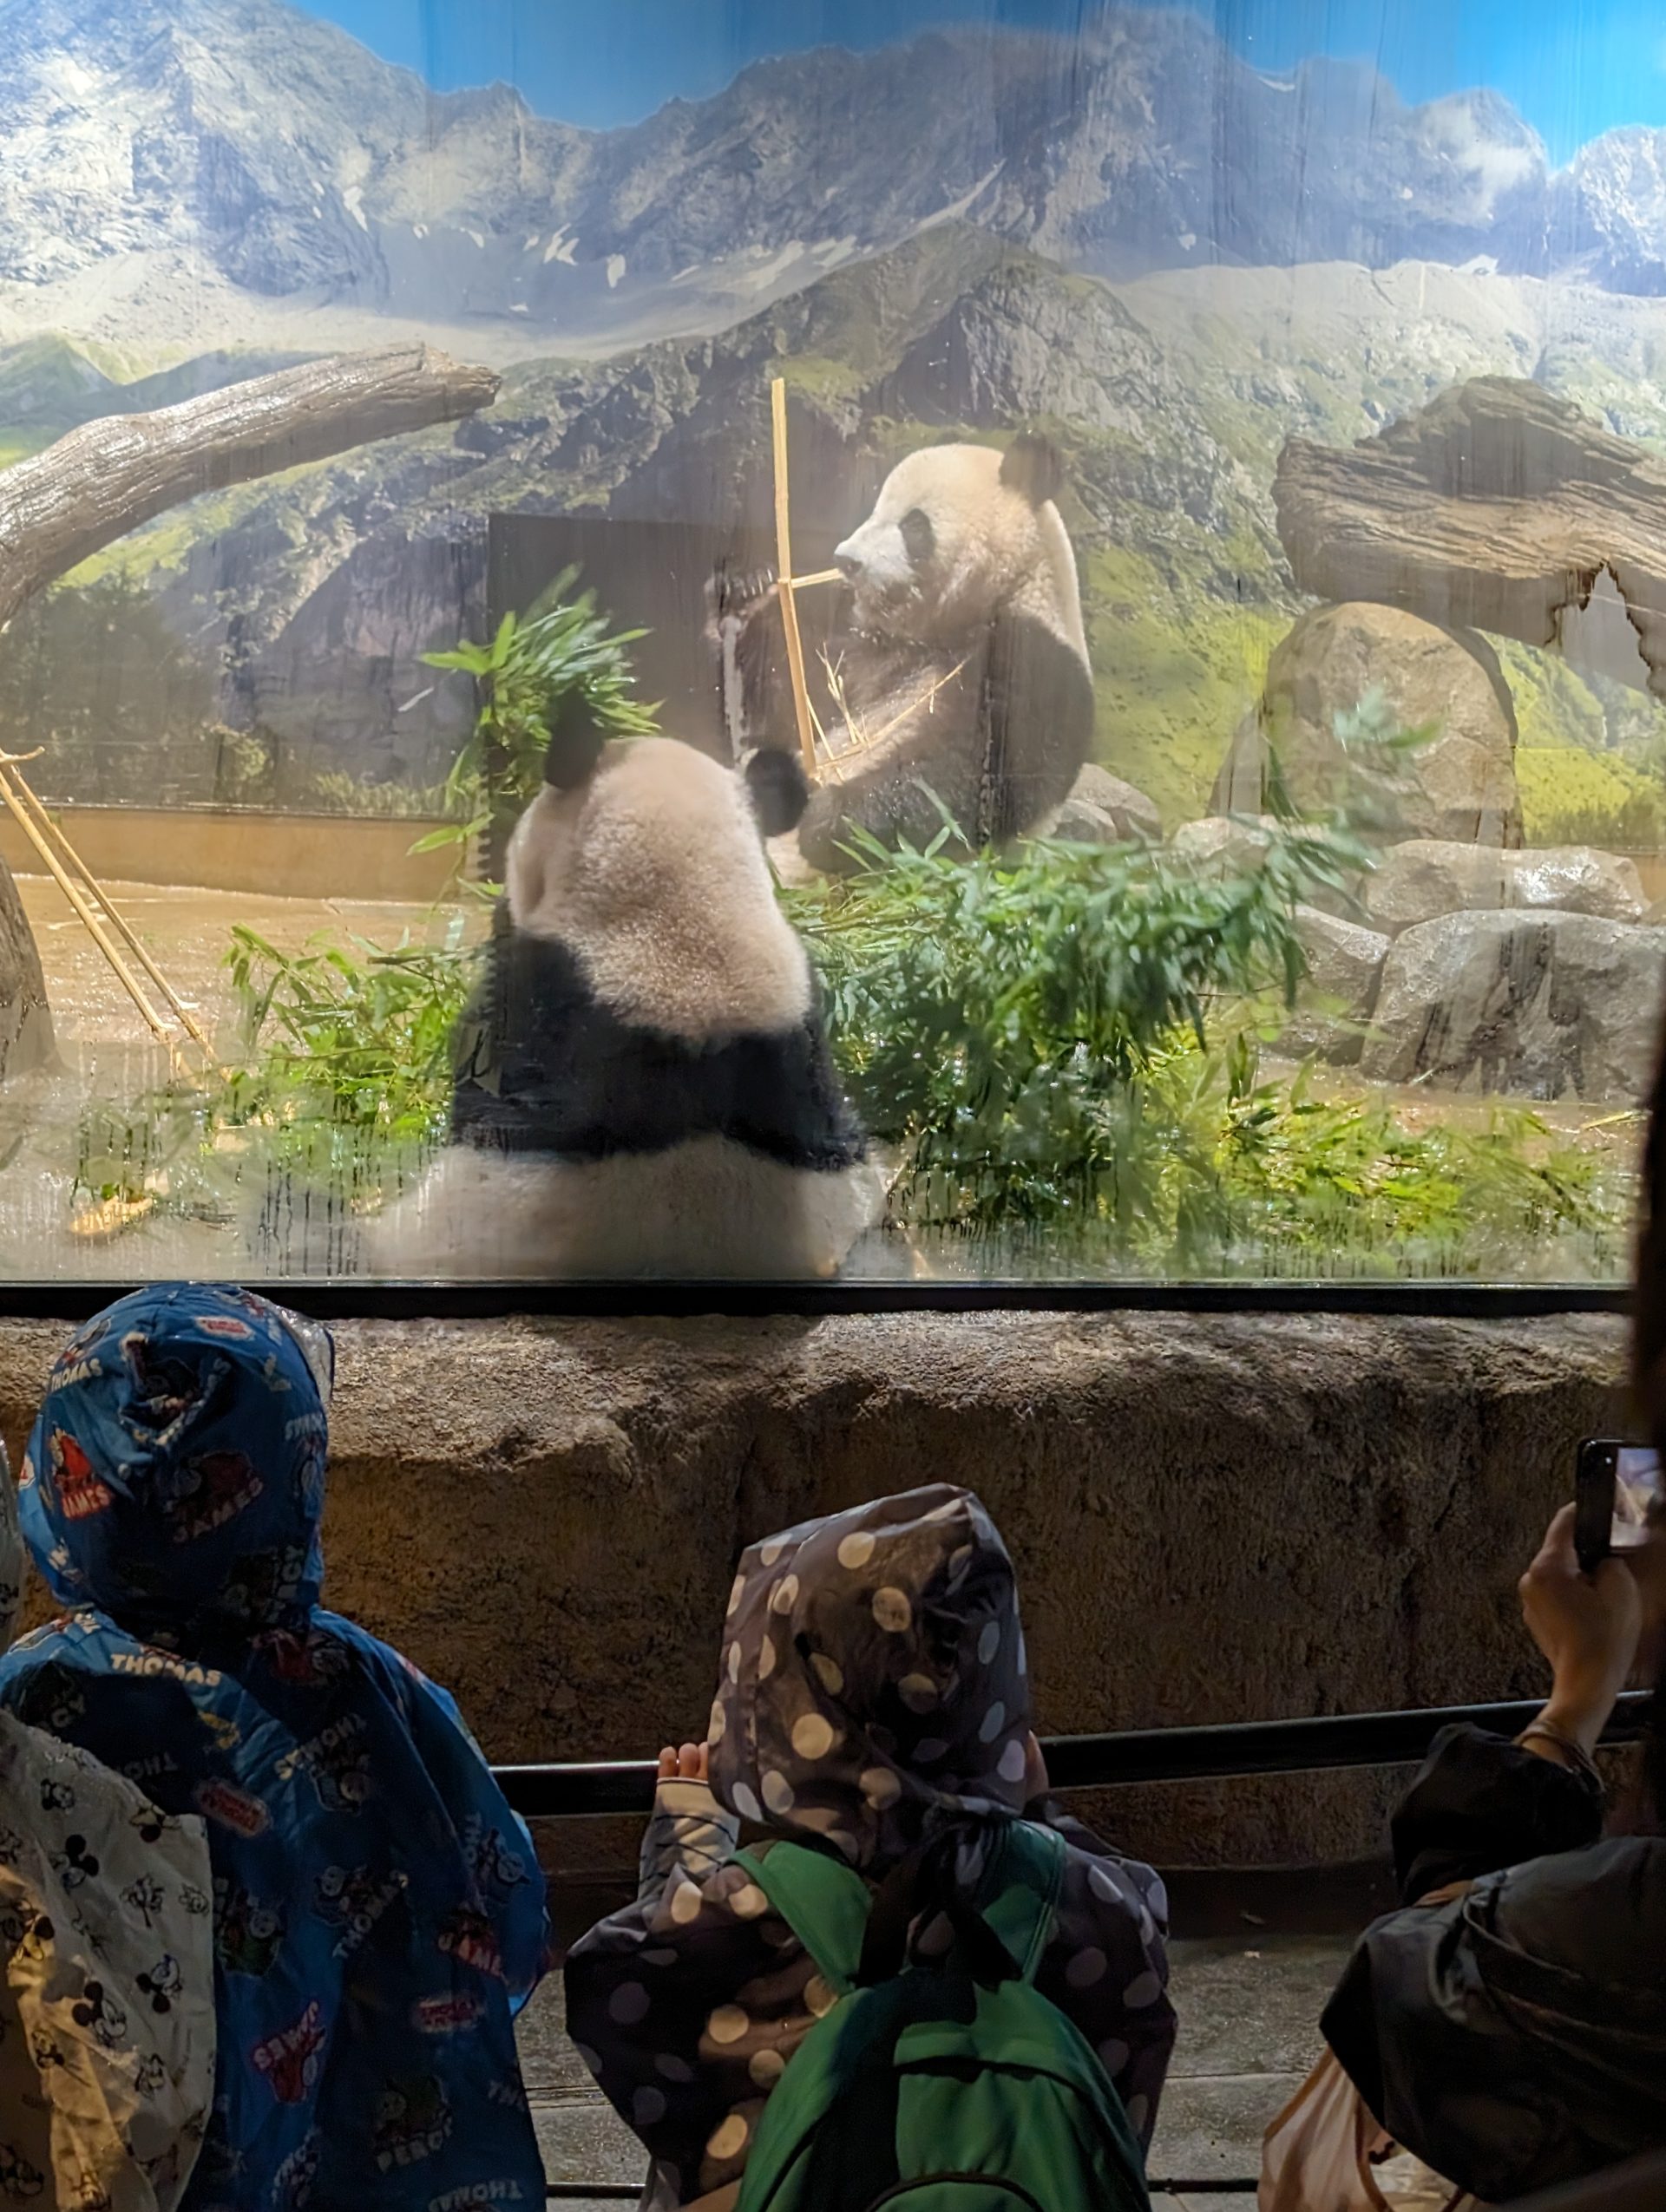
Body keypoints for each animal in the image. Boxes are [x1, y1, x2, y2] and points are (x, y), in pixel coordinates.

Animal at [725, 431, 1092, 871]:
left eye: (913, 524)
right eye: (875, 509)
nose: (845, 560)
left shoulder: (1039, 660)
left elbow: (971, 778)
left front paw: (830, 820)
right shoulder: (875, 651)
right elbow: (796, 695)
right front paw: (748, 587)